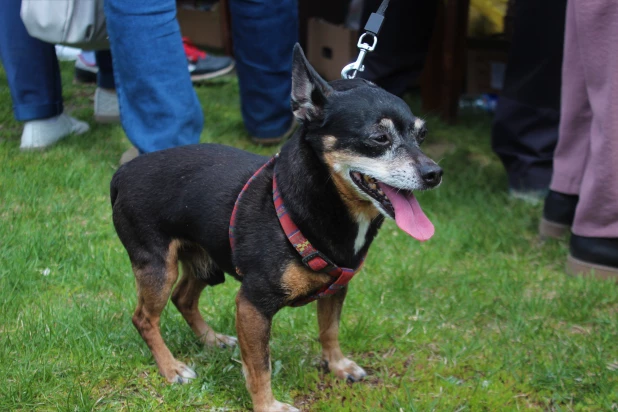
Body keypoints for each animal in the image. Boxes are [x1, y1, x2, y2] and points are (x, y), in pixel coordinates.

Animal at [108, 43, 440, 410]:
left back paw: (211, 339)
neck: (318, 201)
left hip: (207, 263)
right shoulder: (252, 305)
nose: (434, 173)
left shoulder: (336, 290)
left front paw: (337, 365)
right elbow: (259, 366)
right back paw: (171, 368)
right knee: (144, 318)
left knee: (183, 298)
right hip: (158, 267)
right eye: (379, 137)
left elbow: (329, 330)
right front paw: (267, 405)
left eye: (422, 135)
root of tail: (123, 173)